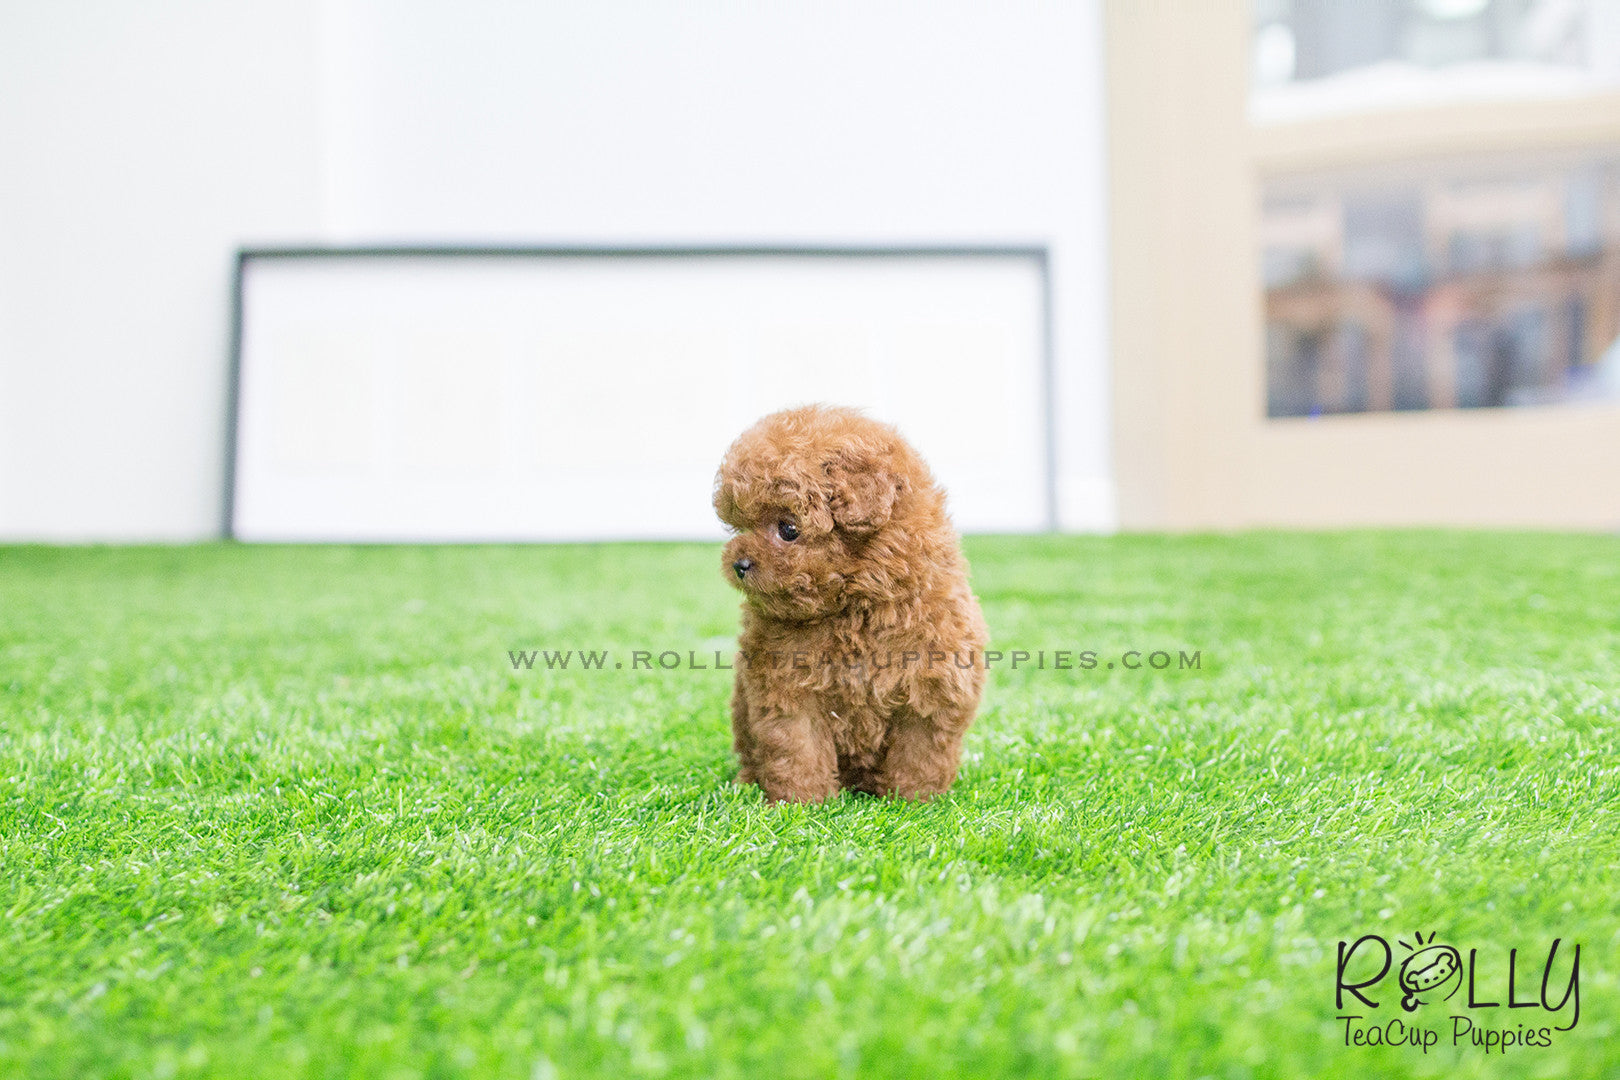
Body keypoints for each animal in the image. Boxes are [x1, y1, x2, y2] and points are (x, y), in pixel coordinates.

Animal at [712, 404, 984, 803]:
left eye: (788, 529)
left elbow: (920, 752)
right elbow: (798, 748)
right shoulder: (787, 690)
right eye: (740, 526)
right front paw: (801, 802)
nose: (739, 563)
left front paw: (914, 800)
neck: (854, 609)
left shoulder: (932, 685)